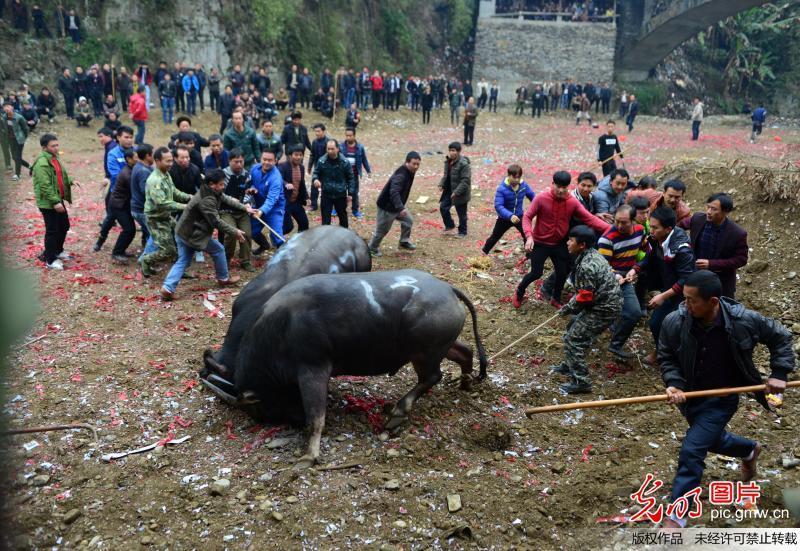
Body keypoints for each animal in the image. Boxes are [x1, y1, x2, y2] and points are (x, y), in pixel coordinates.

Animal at [231, 270, 488, 468]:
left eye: (262, 407)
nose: (293, 420)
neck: (281, 328)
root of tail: (448, 289)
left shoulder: (312, 370)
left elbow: (316, 418)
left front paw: (308, 457)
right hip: (438, 348)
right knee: (465, 352)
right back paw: (465, 382)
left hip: (424, 353)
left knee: (433, 376)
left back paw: (397, 413)